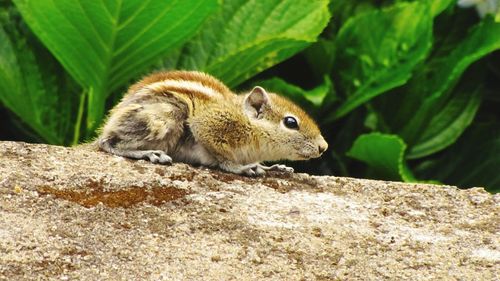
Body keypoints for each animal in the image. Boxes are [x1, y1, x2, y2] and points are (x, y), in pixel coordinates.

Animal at [97, 70, 328, 175]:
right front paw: (242, 168)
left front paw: (273, 167)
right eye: (290, 122)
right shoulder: (208, 126)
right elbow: (222, 158)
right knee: (108, 143)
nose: (323, 147)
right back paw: (149, 153)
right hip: (166, 115)